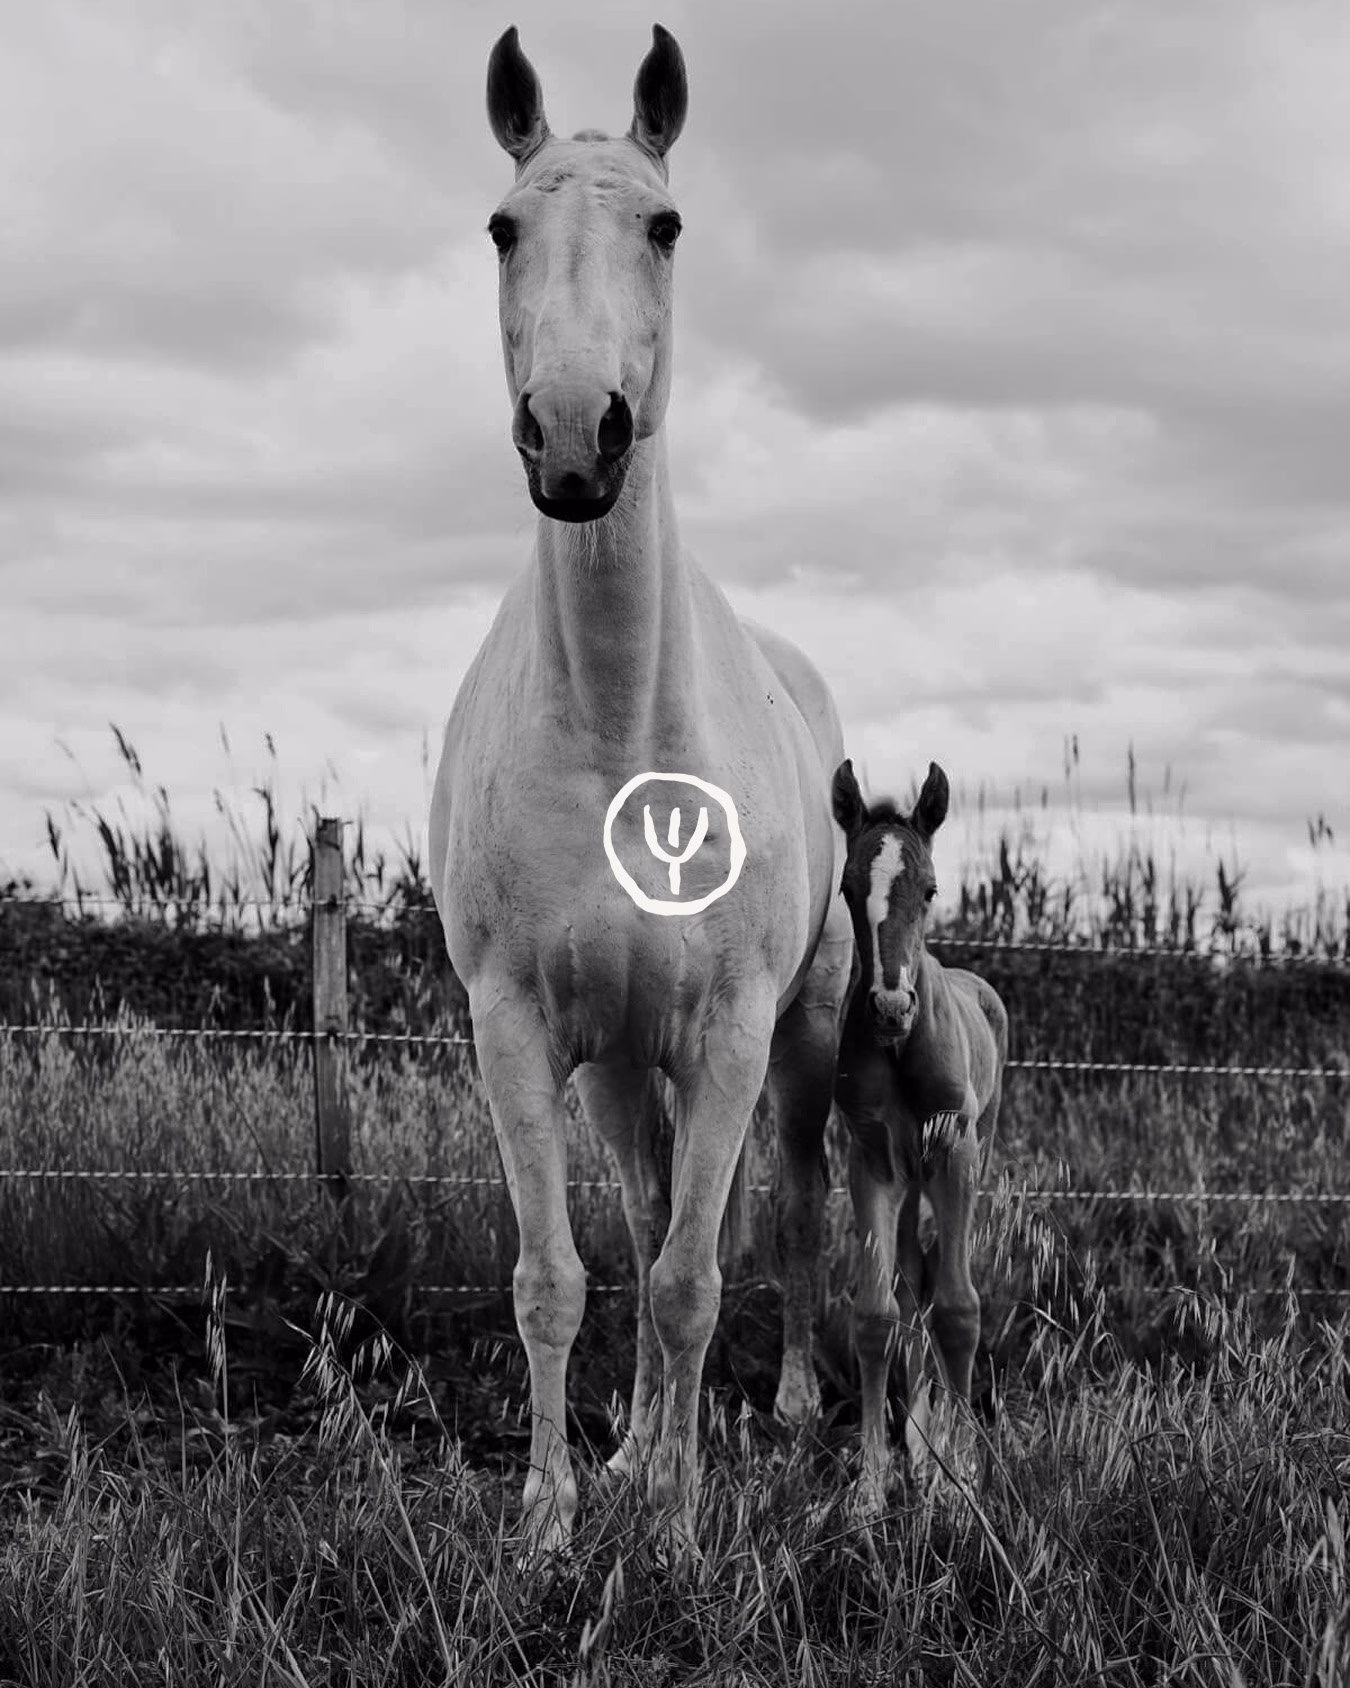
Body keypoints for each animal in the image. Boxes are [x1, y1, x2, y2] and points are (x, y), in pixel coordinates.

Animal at [428, 24, 853, 1553]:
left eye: (665, 227)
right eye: (503, 227)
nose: (573, 438)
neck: (619, 731)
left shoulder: (729, 1034)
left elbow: (688, 1277)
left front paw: (675, 1523)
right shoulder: (513, 1030)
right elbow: (561, 1272)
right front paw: (558, 1512)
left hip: (799, 1040)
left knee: (779, 1217)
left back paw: (771, 1415)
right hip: (619, 1065)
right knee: (657, 1203)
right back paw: (636, 1449)